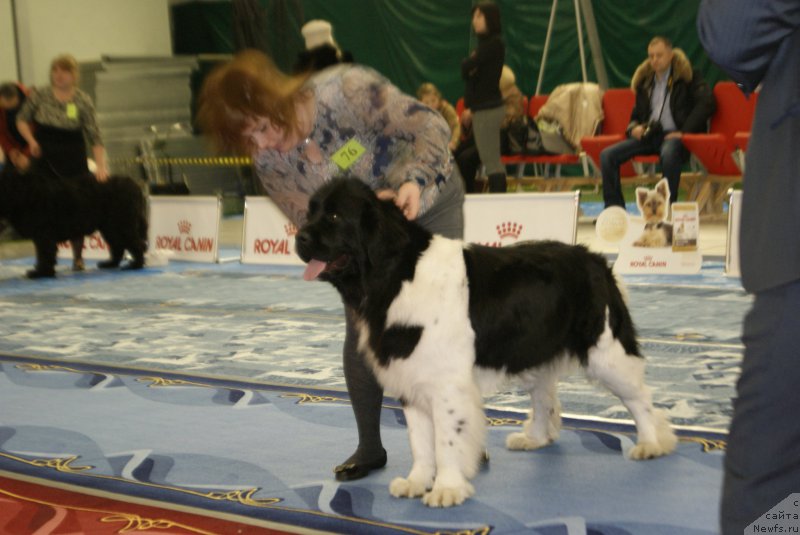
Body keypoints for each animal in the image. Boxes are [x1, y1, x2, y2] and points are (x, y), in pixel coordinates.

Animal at [0, 165, 148, 278]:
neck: (25, 194)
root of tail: (135, 185)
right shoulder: (41, 236)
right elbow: (43, 254)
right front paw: (41, 270)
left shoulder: (43, 236)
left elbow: (44, 254)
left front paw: (41, 272)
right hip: (110, 227)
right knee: (118, 246)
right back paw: (109, 264)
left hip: (122, 224)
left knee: (136, 244)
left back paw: (135, 265)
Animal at [296, 178, 680, 508]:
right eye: (310, 211)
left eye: (334, 216)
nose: (298, 237)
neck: (397, 274)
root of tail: (596, 259)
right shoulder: (412, 378)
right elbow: (420, 441)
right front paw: (417, 481)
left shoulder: (446, 385)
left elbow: (446, 440)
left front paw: (447, 488)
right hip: (534, 349)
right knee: (544, 395)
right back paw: (535, 438)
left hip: (606, 352)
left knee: (639, 398)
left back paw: (650, 443)